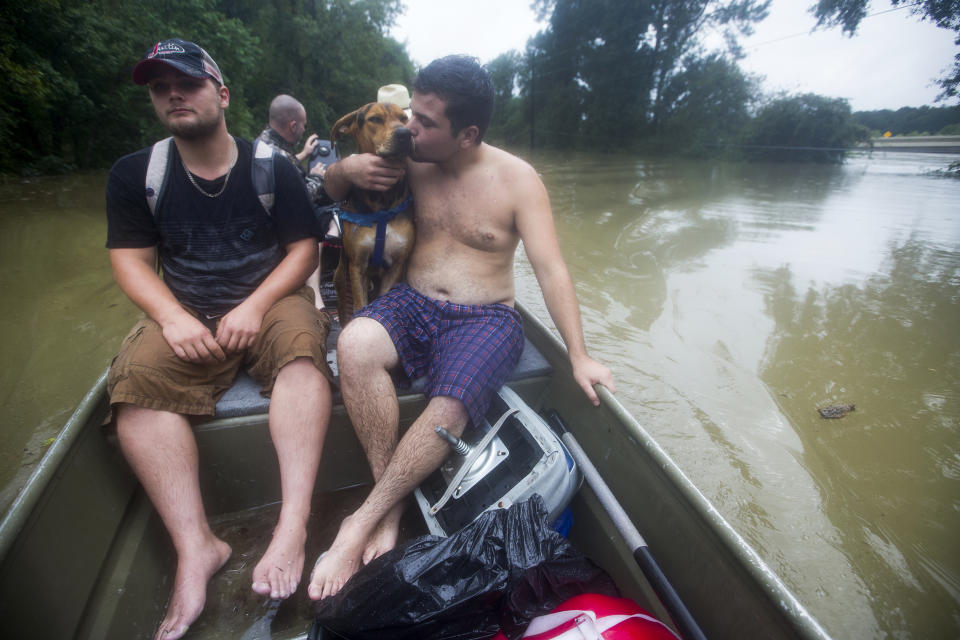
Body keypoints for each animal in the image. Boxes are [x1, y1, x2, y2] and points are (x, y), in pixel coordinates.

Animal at [330, 105, 412, 328]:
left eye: (404, 118)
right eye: (375, 119)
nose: (405, 134)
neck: (383, 205)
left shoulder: (396, 265)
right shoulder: (357, 265)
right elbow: (360, 306)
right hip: (341, 281)